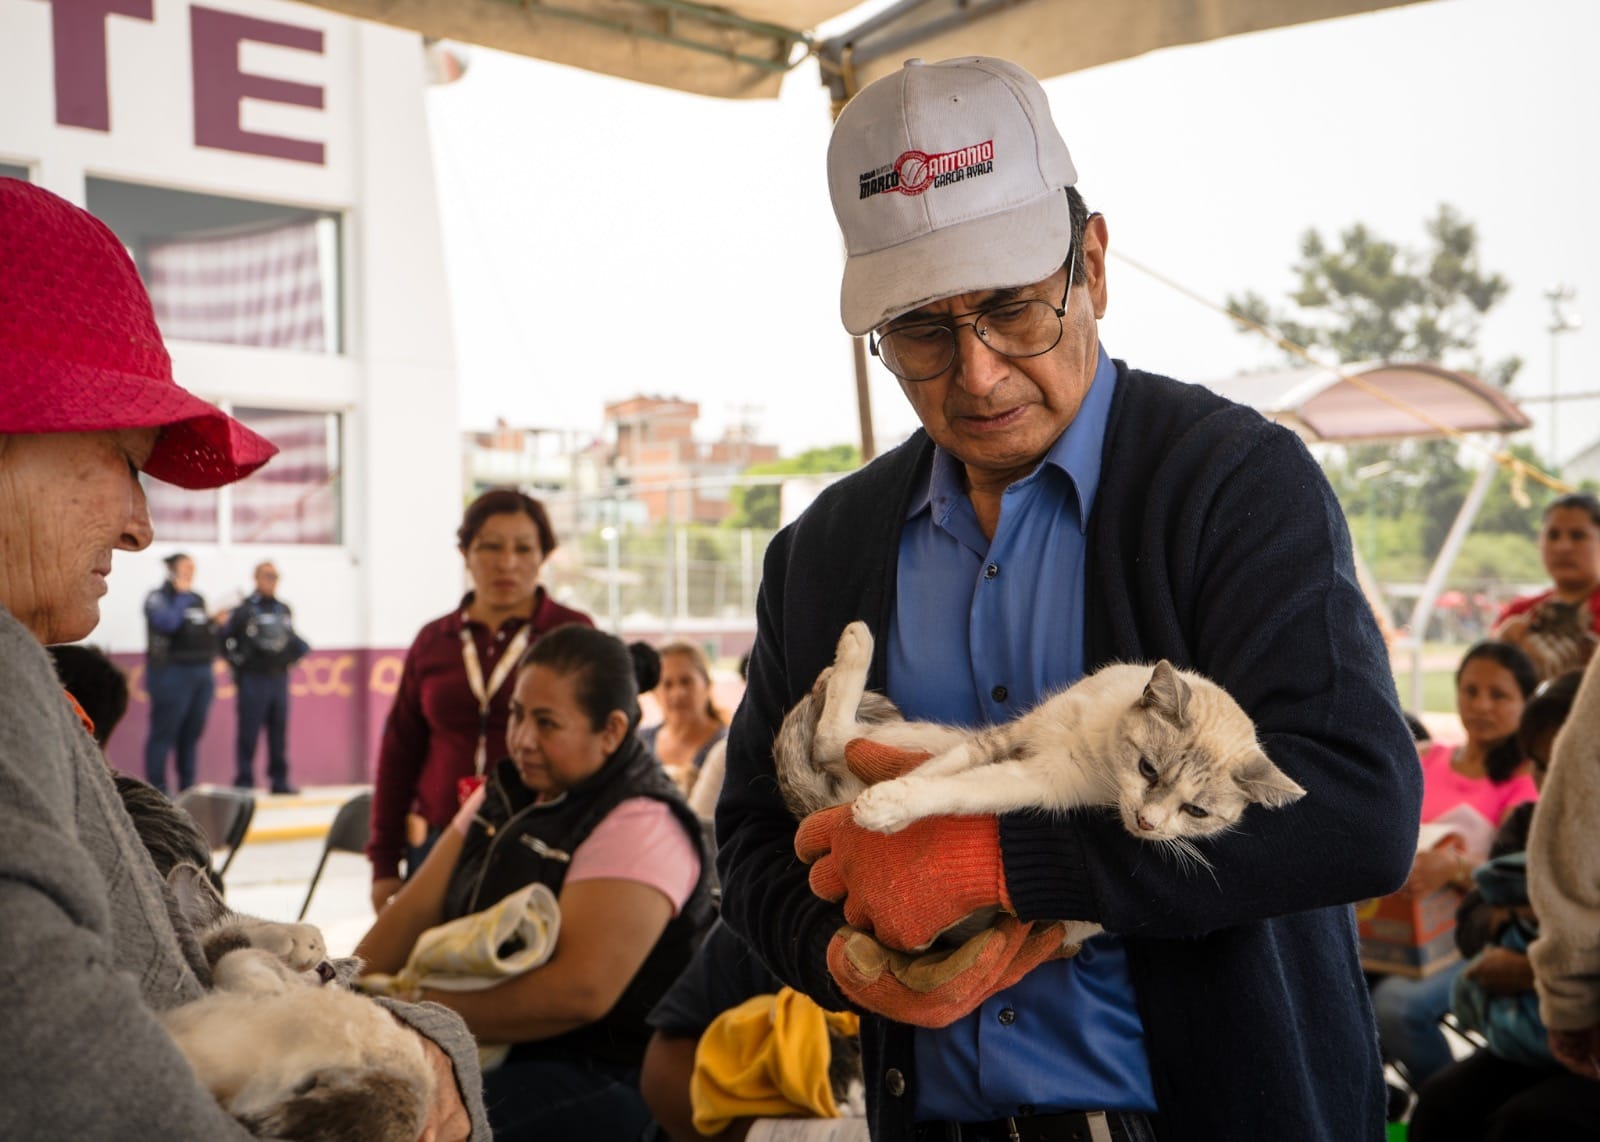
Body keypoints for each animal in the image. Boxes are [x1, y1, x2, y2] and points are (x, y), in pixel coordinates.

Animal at [774, 623, 1312, 934]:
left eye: (1196, 811)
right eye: (1148, 769)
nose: (1147, 823)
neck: (1099, 741)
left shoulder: (1037, 779)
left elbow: (955, 789)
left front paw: (884, 813)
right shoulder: (1007, 736)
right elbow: (935, 772)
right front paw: (881, 805)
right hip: (927, 734)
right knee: (833, 741)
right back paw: (850, 653)